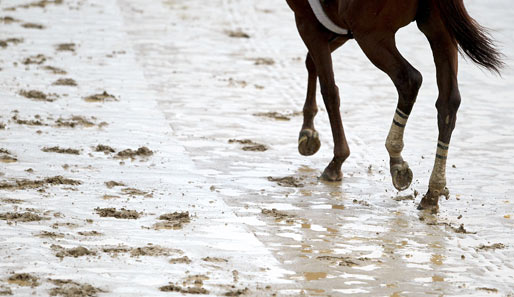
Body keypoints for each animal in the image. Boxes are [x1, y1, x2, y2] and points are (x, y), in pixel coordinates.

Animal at [286, 0, 502, 209]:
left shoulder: (308, 23)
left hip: (372, 35)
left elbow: (329, 90)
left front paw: (336, 160)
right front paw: (309, 130)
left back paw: (396, 158)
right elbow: (311, 63)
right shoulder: (340, 29)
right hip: (438, 28)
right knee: (448, 101)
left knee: (409, 80)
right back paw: (433, 192)